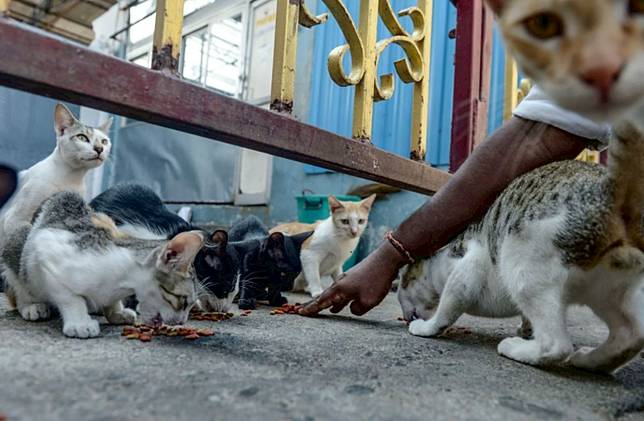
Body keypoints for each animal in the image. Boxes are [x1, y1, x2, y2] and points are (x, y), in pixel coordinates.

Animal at [1, 191, 204, 338]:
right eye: (183, 301)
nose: (182, 322)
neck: (121, 283)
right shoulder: (46, 251)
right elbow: (70, 297)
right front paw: (80, 322)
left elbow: (111, 302)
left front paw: (116, 313)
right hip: (18, 238)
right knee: (19, 282)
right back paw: (31, 306)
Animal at [398, 114, 644, 370]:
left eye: (401, 281)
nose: (405, 315)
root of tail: (614, 192)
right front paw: (526, 329)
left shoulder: (468, 265)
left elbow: (449, 305)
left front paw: (426, 327)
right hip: (610, 288)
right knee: (631, 335)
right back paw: (589, 360)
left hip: (523, 262)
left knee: (556, 345)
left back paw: (517, 349)